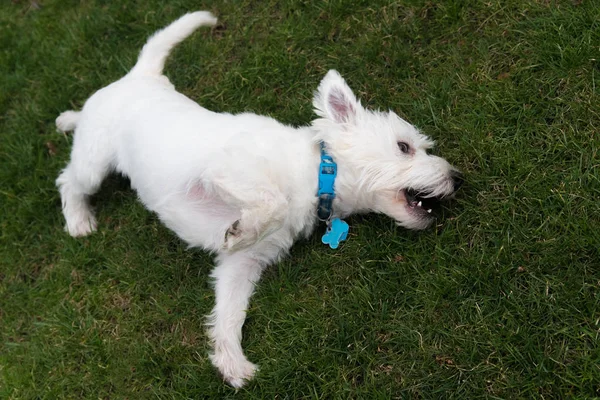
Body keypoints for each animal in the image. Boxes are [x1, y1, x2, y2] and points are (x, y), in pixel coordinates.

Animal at [55, 11, 460, 388]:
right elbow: (271, 203)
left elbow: (230, 312)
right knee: (68, 180)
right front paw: (240, 229)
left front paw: (231, 362)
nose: (457, 178)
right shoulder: (221, 173)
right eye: (404, 147)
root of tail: (141, 75)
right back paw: (78, 218)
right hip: (94, 162)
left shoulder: (242, 265)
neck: (318, 173)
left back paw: (67, 119)